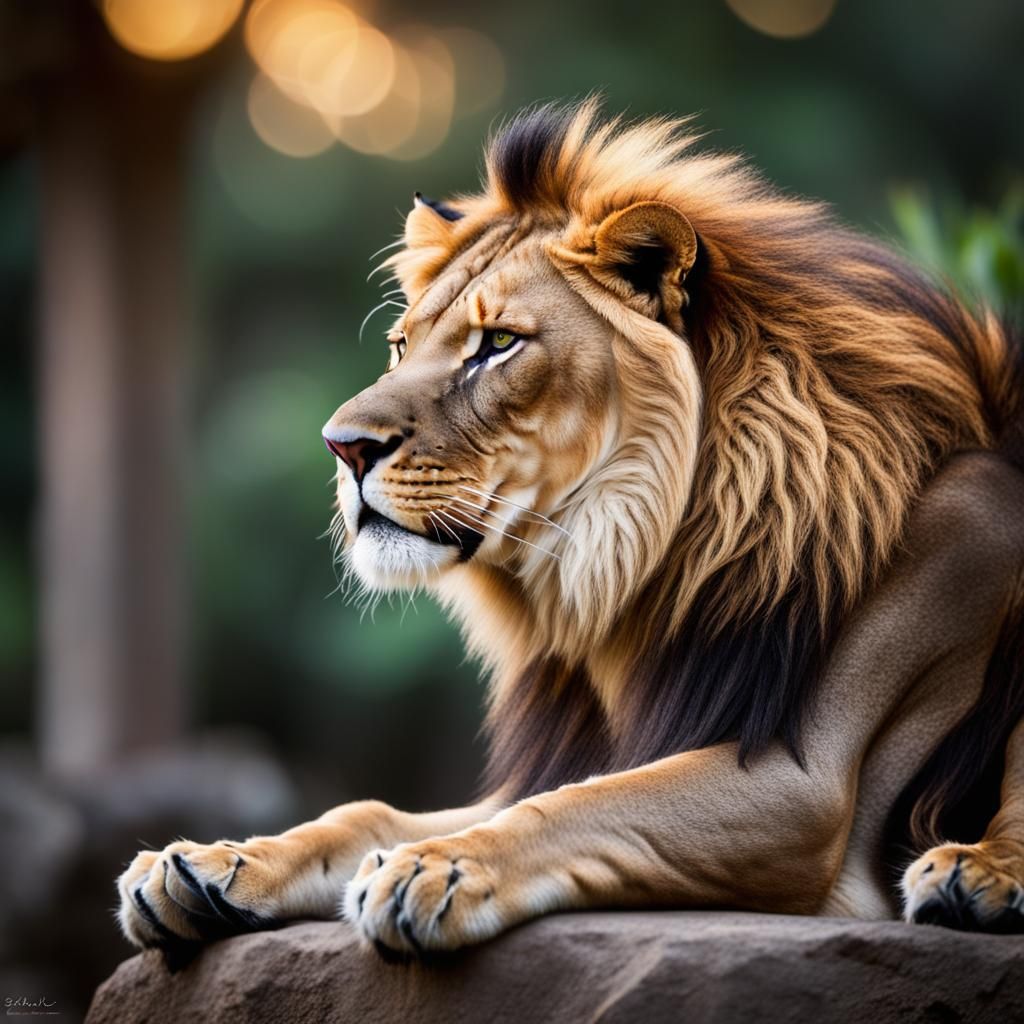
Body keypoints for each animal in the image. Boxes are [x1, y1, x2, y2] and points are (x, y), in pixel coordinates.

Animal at [117, 101, 1024, 961]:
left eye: (497, 344)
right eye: (403, 345)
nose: (343, 447)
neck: (626, 575)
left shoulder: (803, 782)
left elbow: (575, 807)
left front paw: (438, 868)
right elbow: (366, 811)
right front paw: (215, 862)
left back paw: (974, 876)